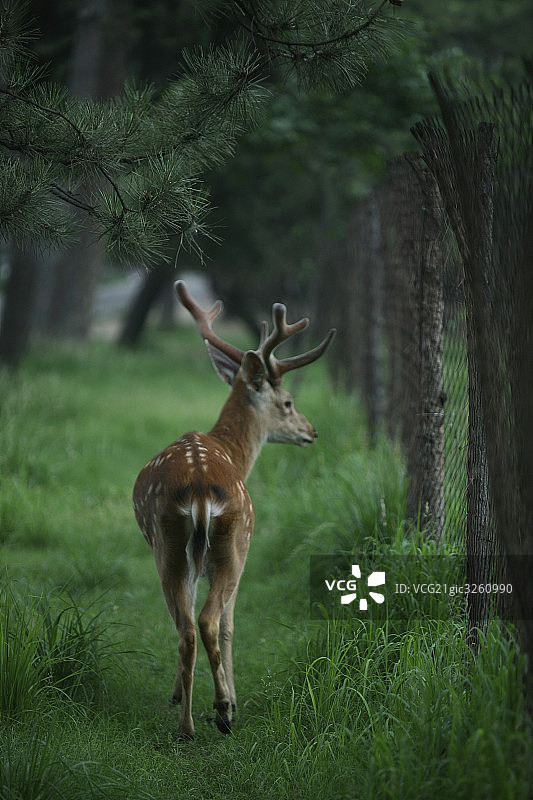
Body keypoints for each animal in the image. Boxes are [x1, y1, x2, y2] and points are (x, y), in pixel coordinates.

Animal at [132, 280, 335, 739]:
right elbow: (228, 625)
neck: (233, 452)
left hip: (167, 546)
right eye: (288, 402)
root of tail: (199, 489)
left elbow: (181, 617)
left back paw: (186, 725)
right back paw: (223, 711)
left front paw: (177, 694)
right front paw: (231, 698)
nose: (312, 432)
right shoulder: (243, 552)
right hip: (232, 542)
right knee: (210, 621)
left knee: (185, 625)